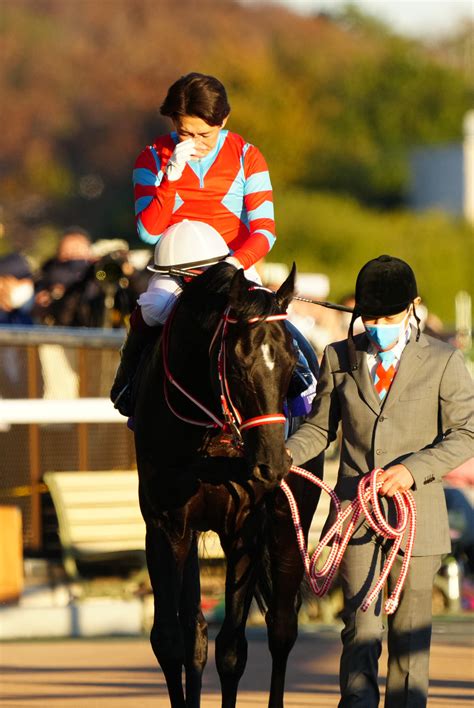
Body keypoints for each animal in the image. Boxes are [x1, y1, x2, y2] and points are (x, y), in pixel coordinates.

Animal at [133, 262, 324, 708]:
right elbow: (172, 639)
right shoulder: (166, 526)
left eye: (291, 364)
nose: (274, 463)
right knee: (197, 632)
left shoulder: (245, 531)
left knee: (281, 626)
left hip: (290, 524)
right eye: (237, 365)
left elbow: (233, 650)